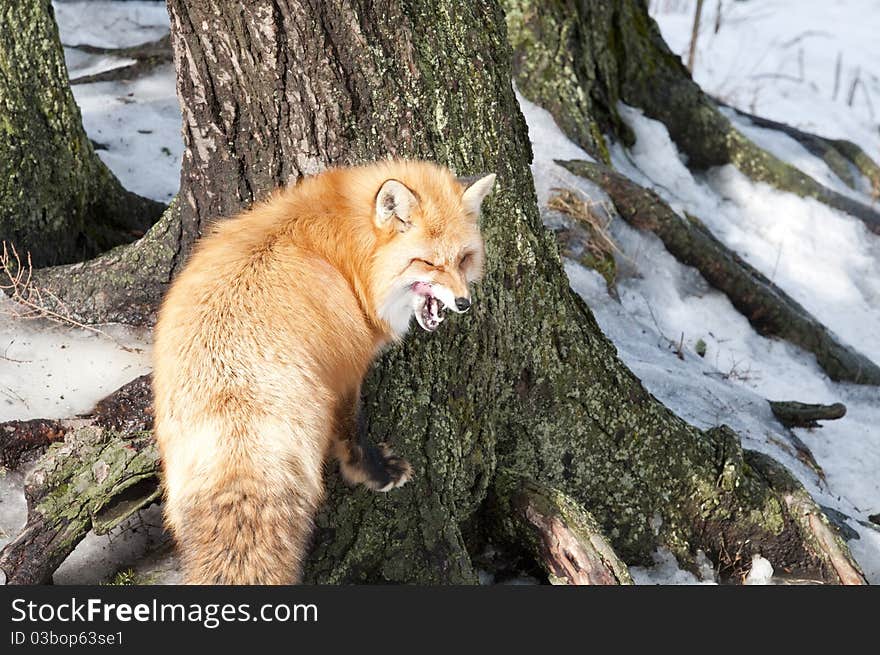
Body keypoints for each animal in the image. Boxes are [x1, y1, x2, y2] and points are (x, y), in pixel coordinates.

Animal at [152, 159, 496, 584]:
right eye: (428, 262)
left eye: (464, 258)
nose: (463, 303)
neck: (349, 259)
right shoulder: (349, 370)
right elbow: (353, 429)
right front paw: (375, 473)